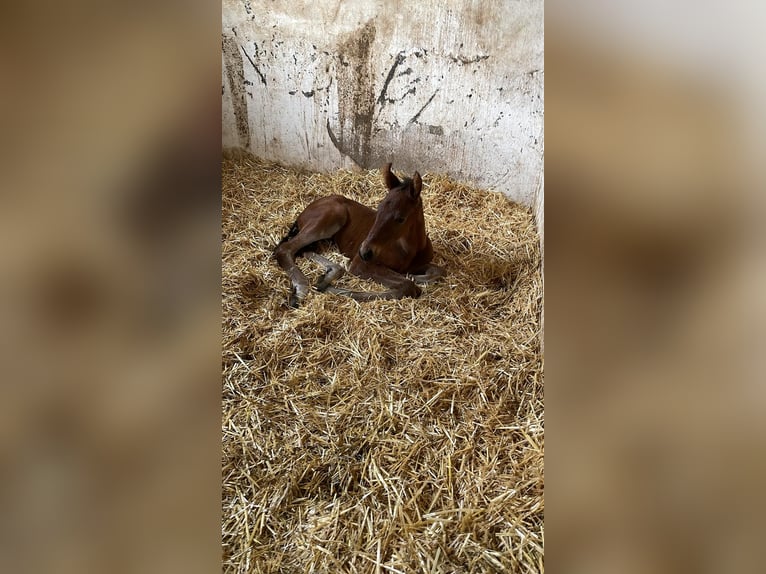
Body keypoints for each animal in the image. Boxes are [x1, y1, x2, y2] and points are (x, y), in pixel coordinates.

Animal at [274, 163, 445, 307]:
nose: (365, 252)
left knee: (304, 250)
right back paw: (302, 290)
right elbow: (408, 286)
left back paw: (327, 276)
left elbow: (437, 272)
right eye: (379, 209)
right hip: (332, 217)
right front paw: (330, 290)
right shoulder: (360, 264)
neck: (409, 250)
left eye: (400, 218)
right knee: (285, 249)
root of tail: (304, 212)